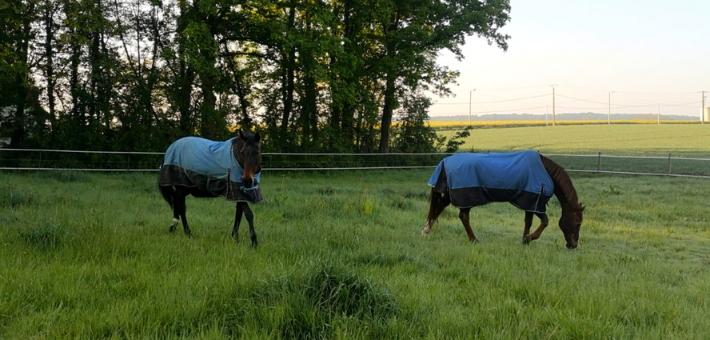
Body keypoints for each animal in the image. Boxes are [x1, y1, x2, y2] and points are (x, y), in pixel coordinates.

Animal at [426, 152, 588, 250]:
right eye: (578, 223)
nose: (573, 245)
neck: (545, 170)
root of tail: (445, 161)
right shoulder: (536, 202)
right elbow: (545, 221)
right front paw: (529, 238)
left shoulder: (530, 202)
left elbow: (528, 222)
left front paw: (524, 239)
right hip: (466, 197)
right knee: (463, 217)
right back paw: (474, 239)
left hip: (452, 195)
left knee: (439, 208)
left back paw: (426, 231)